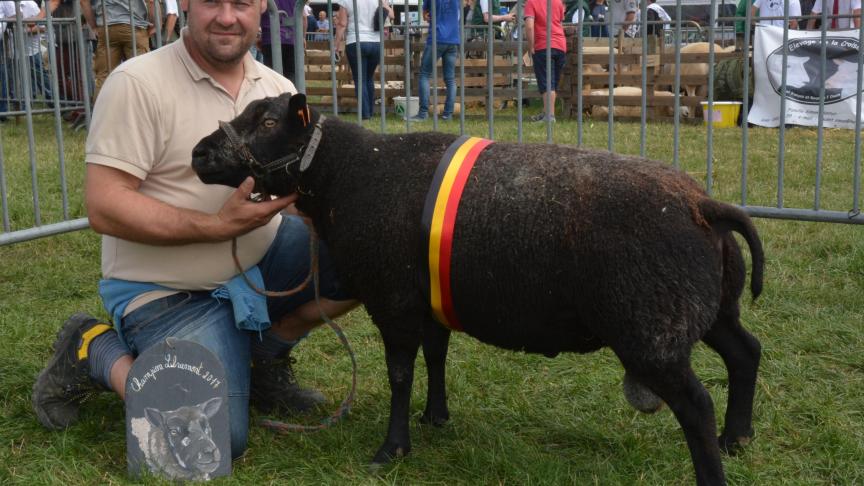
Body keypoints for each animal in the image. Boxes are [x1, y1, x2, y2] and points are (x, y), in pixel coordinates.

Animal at [194, 92, 764, 486]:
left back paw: (713, 468)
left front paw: (391, 449)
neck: (347, 171)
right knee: (745, 351)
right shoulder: (429, 292)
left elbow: (400, 374)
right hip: (708, 308)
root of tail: (704, 205)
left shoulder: (393, 300)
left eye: (268, 123)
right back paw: (736, 439)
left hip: (650, 327)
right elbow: (437, 354)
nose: (200, 153)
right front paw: (435, 418)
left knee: (696, 403)